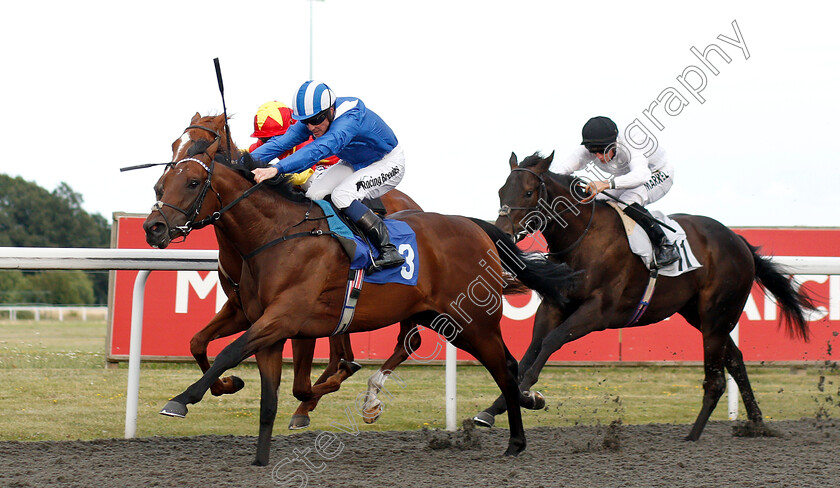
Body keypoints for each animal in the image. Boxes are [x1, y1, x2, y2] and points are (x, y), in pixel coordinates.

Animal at [144, 138, 576, 466]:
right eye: (160, 184)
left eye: (193, 182)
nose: (154, 228)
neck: (276, 235)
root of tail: (474, 226)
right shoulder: (263, 324)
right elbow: (252, 385)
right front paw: (259, 455)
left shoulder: (283, 318)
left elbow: (228, 353)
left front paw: (181, 401)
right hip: (440, 318)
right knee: (485, 360)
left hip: (474, 321)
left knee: (503, 367)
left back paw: (516, 440)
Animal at [476, 151, 816, 440]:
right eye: (501, 191)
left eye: (528, 193)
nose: (504, 235)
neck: (583, 239)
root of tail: (738, 240)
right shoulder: (554, 306)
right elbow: (530, 352)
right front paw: (493, 410)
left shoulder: (598, 311)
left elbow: (551, 342)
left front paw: (526, 396)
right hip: (700, 314)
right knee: (735, 361)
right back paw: (756, 424)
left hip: (717, 314)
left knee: (717, 378)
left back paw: (693, 436)